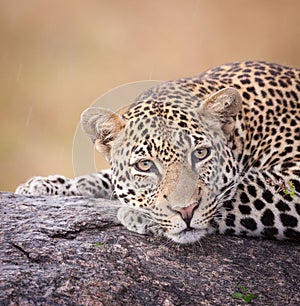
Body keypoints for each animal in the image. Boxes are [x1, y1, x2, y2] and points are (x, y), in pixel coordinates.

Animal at [17, 61, 300, 244]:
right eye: (145, 165)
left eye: (200, 153)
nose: (186, 212)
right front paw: (47, 186)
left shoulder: (293, 178)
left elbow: (240, 190)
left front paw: (139, 215)